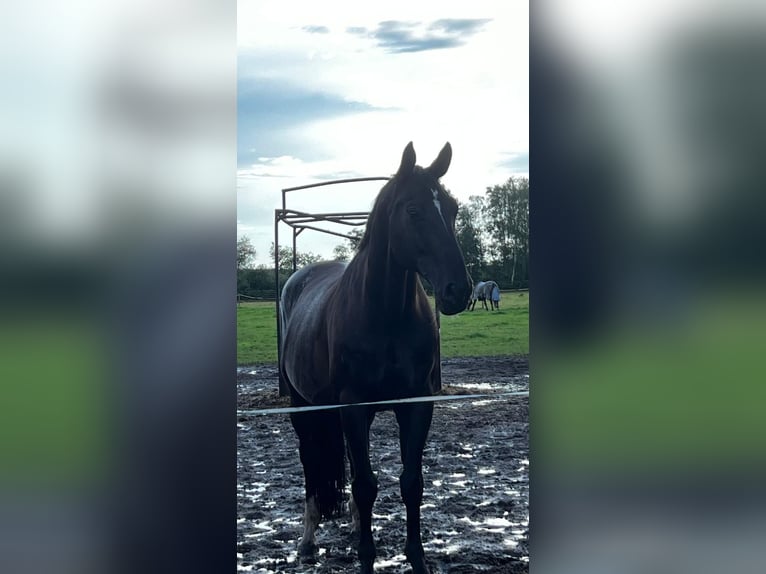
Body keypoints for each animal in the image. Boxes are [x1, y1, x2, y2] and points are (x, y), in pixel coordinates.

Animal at [280, 143, 474, 574]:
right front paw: (367, 560)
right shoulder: (353, 407)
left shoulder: (416, 405)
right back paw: (307, 540)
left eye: (453, 209)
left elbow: (410, 483)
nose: (459, 290)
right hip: (303, 409)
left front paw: (417, 560)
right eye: (413, 210)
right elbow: (366, 486)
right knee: (310, 467)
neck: (385, 316)